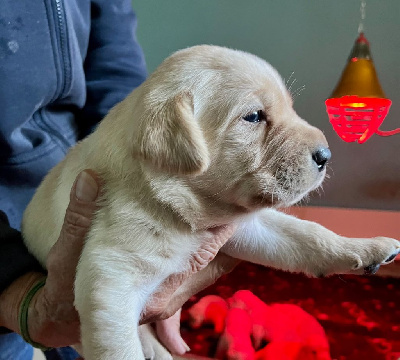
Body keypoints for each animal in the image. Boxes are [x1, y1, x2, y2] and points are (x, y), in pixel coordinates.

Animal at [22, 45, 400, 360]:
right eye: (253, 117)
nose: (326, 155)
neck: (182, 208)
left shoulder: (245, 225)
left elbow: (308, 236)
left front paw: (366, 248)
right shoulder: (109, 277)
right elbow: (118, 345)